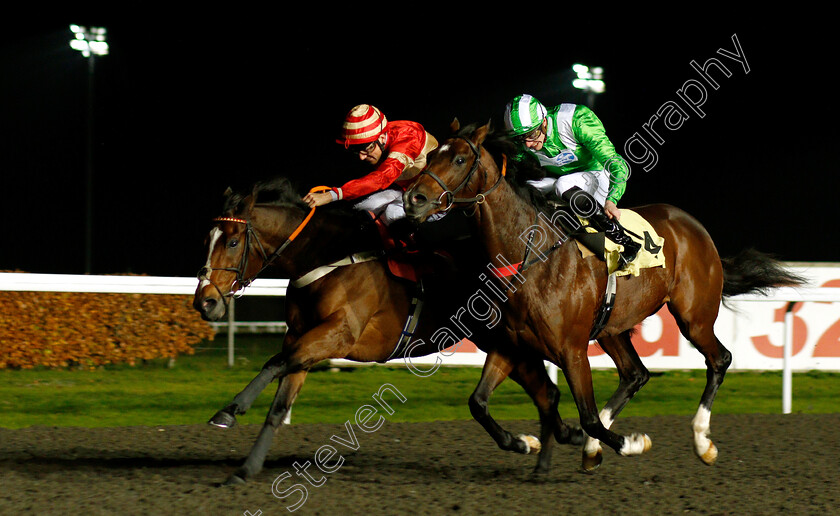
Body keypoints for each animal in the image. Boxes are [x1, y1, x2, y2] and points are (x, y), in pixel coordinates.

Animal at [190, 177, 584, 484]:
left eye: (233, 241)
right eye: (206, 240)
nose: (205, 302)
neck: (324, 256)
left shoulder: (337, 334)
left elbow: (274, 362)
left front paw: (229, 411)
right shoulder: (301, 334)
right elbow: (279, 403)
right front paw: (246, 468)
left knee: (543, 392)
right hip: (507, 342)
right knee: (546, 393)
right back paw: (552, 448)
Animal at [404, 121, 804, 472]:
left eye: (459, 159)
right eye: (431, 155)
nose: (414, 198)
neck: (531, 256)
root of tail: (696, 228)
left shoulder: (572, 350)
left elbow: (590, 417)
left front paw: (631, 443)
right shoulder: (511, 345)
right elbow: (478, 404)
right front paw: (527, 442)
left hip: (694, 316)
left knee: (719, 359)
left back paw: (701, 442)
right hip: (612, 327)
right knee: (635, 374)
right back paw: (595, 448)